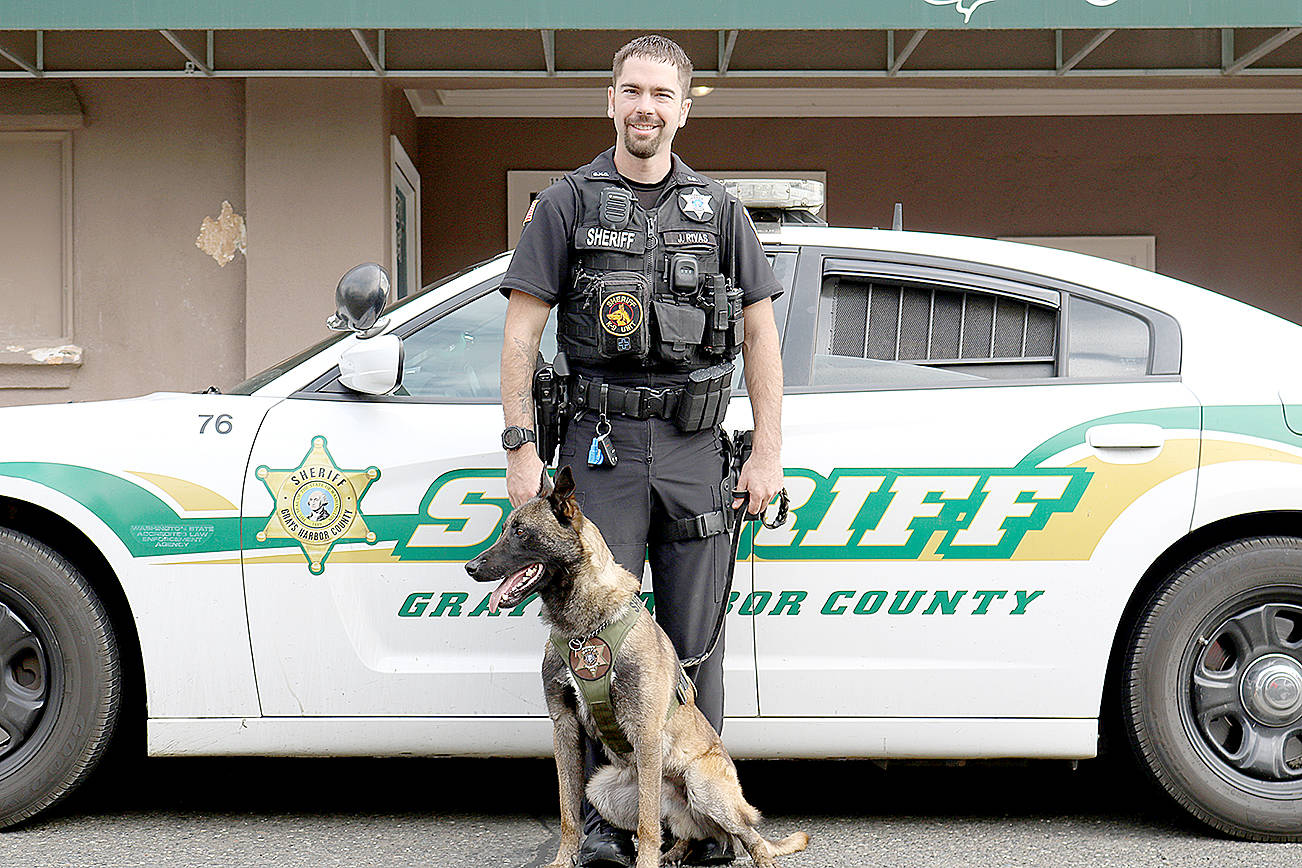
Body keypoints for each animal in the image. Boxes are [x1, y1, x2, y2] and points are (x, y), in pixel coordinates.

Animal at [458, 468, 802, 868]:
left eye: (521, 533)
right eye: (504, 530)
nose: (470, 567)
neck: (582, 630)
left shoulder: (646, 732)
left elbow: (648, 825)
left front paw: (646, 863)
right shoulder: (564, 727)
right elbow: (568, 811)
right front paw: (564, 860)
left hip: (703, 786)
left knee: (744, 835)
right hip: (603, 789)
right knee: (690, 830)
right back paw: (676, 853)